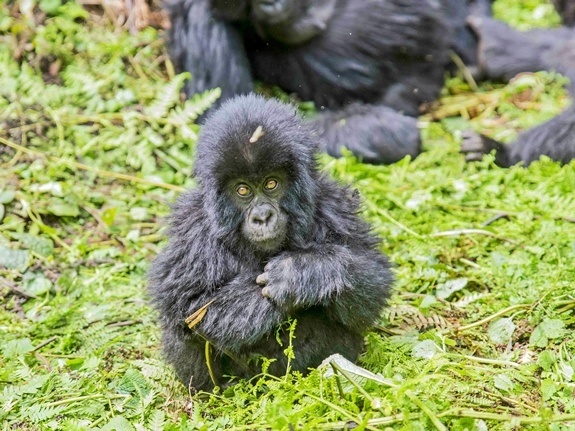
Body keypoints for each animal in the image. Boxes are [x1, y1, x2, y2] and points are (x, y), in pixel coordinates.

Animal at [148, 96, 394, 394]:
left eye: (271, 183)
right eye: (243, 190)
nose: (263, 216)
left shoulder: (334, 205)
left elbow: (373, 278)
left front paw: (302, 273)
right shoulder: (193, 230)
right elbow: (188, 308)